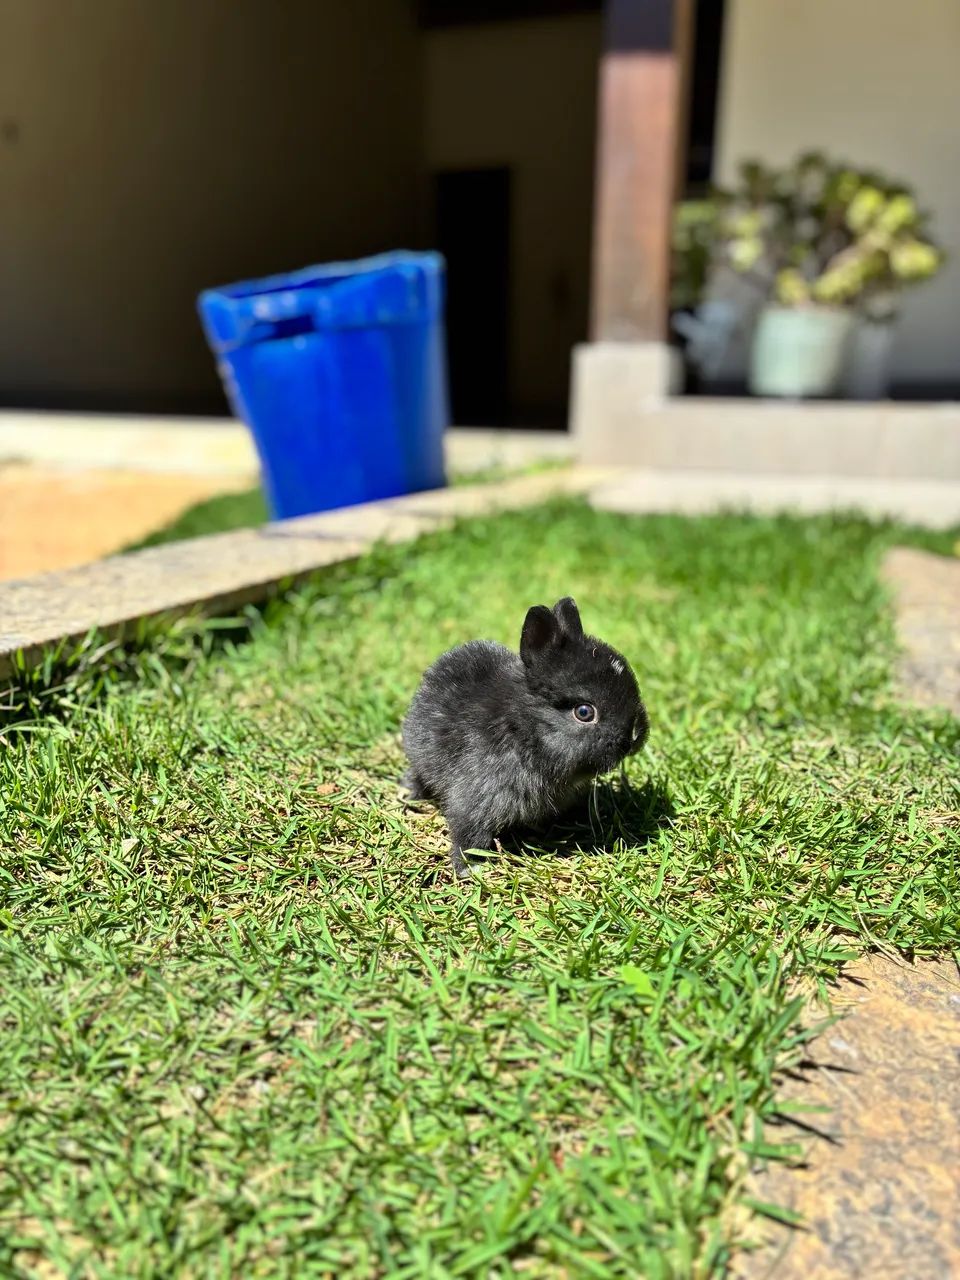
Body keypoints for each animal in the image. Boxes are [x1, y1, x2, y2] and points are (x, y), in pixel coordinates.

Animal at [401, 597, 648, 878]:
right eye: (584, 712)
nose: (635, 735)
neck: (522, 729)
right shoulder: (476, 799)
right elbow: (469, 834)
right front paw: (469, 869)